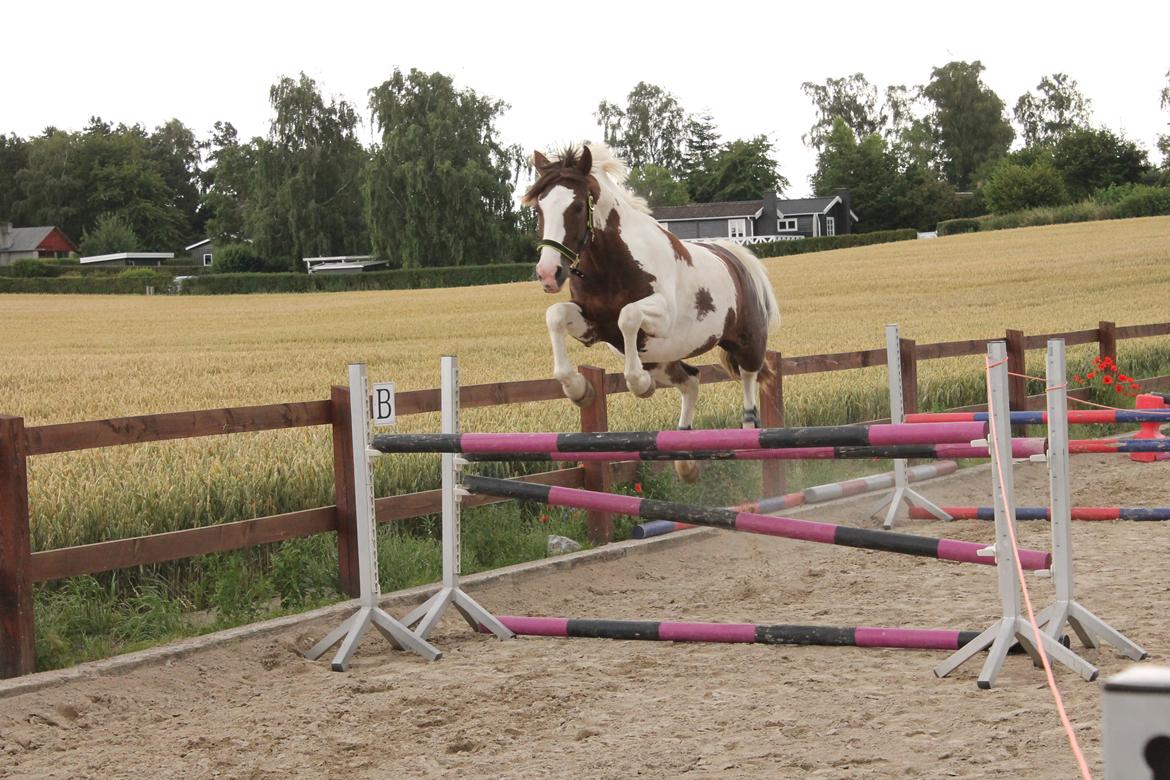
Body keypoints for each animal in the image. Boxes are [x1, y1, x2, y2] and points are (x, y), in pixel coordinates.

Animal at [524, 142, 781, 479]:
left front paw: (640, 385)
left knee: (749, 375)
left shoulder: (662, 315)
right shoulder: (592, 324)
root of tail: (735, 258)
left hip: (747, 342)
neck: (611, 264)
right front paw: (579, 390)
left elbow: (628, 317)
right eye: (538, 210)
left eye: (577, 207)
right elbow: (554, 315)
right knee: (691, 381)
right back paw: (684, 459)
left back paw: (749, 427)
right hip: (662, 360)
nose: (548, 273)